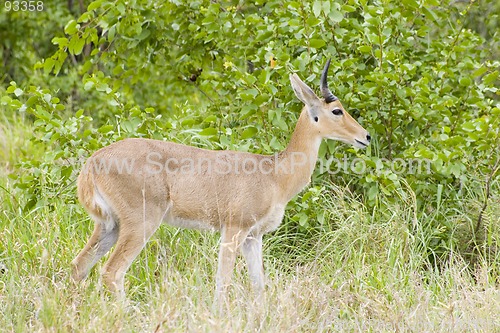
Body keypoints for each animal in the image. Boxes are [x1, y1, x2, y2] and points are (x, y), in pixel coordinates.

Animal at [71, 59, 372, 298]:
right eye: (337, 110)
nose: (365, 136)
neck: (274, 174)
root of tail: (93, 162)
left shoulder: (254, 237)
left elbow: (258, 285)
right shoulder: (234, 229)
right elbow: (223, 282)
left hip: (109, 225)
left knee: (79, 266)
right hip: (140, 223)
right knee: (111, 272)